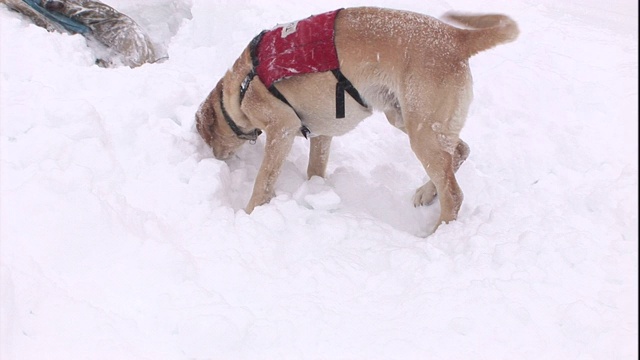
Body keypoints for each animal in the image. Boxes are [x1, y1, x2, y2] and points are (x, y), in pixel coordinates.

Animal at [196, 7, 520, 232]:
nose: (217, 157)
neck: (240, 87)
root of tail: (457, 37)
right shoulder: (321, 134)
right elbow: (315, 170)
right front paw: (315, 191)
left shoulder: (282, 129)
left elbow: (263, 181)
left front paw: (249, 214)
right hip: (407, 119)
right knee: (460, 151)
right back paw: (427, 193)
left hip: (421, 131)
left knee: (454, 193)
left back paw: (436, 233)